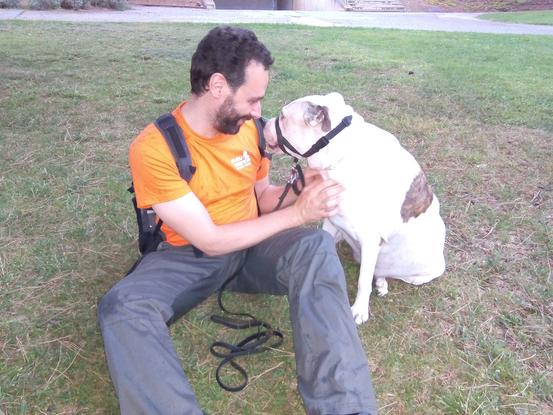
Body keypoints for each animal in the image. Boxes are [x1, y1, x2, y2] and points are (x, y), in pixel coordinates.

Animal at [260, 92, 446, 324]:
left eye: (283, 117)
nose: (263, 122)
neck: (340, 156)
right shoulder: (331, 221)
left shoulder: (370, 239)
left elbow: (362, 282)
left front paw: (359, 310)